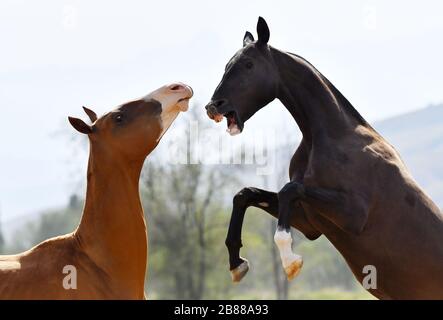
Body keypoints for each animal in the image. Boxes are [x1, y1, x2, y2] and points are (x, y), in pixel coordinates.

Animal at [205, 16, 443, 298]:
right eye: (227, 65)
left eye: (249, 64)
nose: (213, 106)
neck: (330, 138)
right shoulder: (309, 221)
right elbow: (245, 195)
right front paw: (237, 264)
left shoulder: (353, 215)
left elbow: (289, 190)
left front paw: (290, 262)